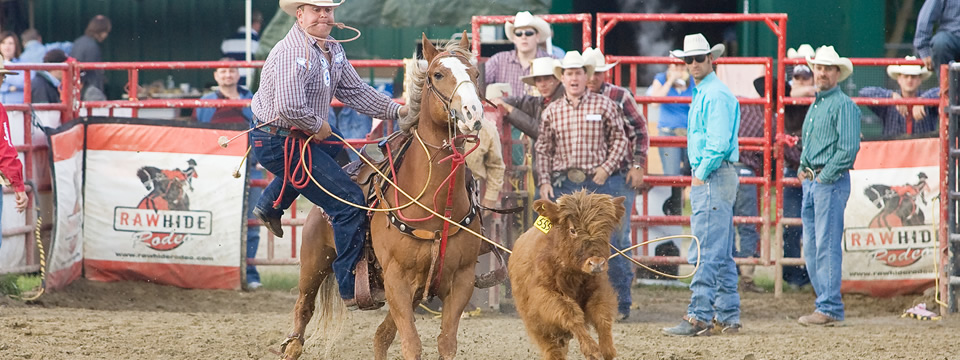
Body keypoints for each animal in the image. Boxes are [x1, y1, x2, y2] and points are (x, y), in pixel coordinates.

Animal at [278, 31, 488, 360]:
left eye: (475, 74)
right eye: (437, 74)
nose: (472, 113)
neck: (434, 204)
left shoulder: (461, 281)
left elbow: (445, 343)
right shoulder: (397, 280)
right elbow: (412, 344)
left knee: (381, 336)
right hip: (314, 262)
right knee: (303, 311)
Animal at [506, 190, 628, 358]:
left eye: (606, 230)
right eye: (572, 230)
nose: (596, 263)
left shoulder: (599, 289)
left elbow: (602, 316)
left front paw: (607, 349)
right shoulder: (544, 295)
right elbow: (571, 314)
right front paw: (592, 350)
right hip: (539, 327)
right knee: (553, 351)